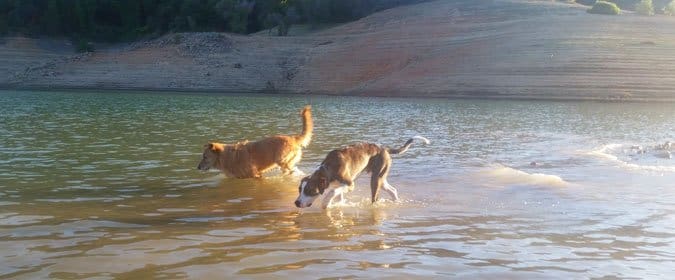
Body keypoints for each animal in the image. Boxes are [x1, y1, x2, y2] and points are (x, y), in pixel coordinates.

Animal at [294, 136, 430, 208]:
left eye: (310, 191)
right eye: (299, 190)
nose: (296, 203)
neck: (328, 168)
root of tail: (384, 149)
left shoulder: (350, 185)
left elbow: (332, 192)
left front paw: (326, 203)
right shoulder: (339, 185)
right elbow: (338, 195)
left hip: (375, 180)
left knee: (375, 197)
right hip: (381, 179)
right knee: (393, 190)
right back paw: (396, 202)